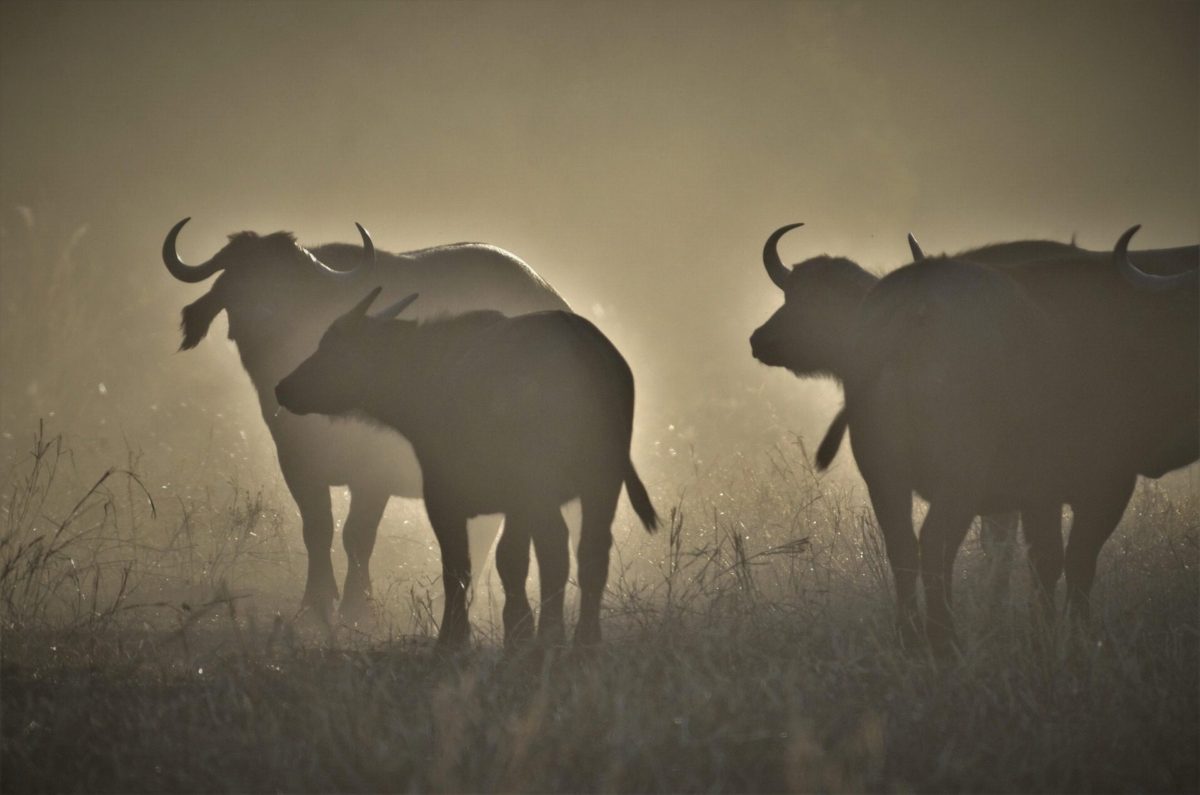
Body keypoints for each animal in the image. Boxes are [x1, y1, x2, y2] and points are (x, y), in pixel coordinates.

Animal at [163, 219, 570, 622]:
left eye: (290, 285)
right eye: (236, 280)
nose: (262, 316)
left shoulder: (375, 475)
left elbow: (357, 535)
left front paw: (357, 605)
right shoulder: (296, 463)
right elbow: (318, 528)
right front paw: (316, 601)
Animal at [275, 288, 658, 648]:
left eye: (331, 346)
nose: (283, 387)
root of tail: (584, 346)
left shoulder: (445, 499)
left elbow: (459, 567)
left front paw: (455, 640)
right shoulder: (515, 507)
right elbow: (510, 562)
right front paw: (515, 632)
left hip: (544, 488)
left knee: (555, 552)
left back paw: (552, 636)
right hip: (600, 485)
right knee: (591, 553)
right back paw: (584, 639)